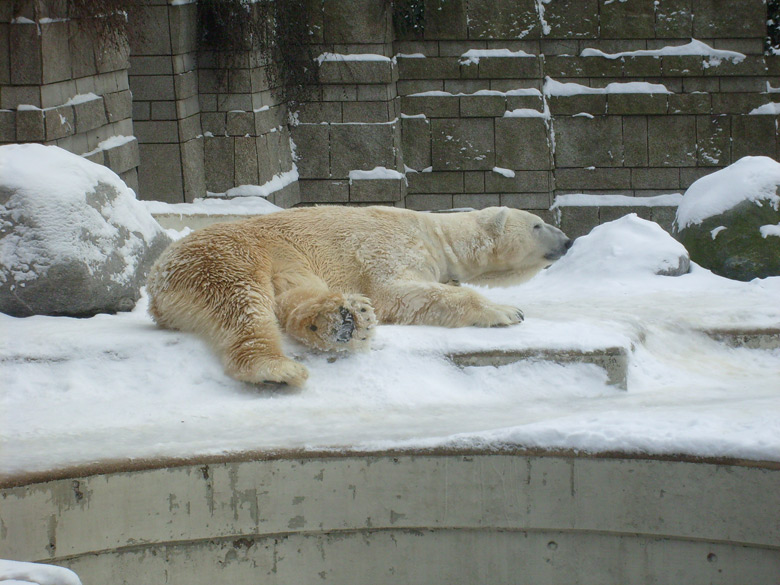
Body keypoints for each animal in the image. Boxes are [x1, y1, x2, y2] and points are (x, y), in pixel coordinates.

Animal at [148, 203, 572, 386]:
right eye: (538, 224)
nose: (567, 241)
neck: (436, 235)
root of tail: (156, 285)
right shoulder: (389, 247)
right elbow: (394, 293)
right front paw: (506, 310)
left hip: (288, 258)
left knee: (296, 296)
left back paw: (341, 321)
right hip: (227, 255)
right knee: (241, 305)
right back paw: (276, 369)